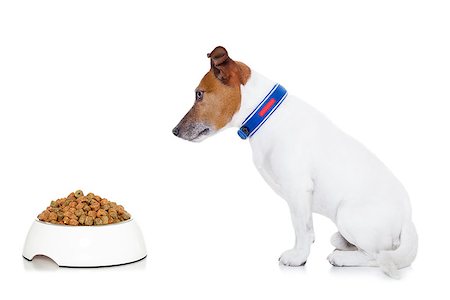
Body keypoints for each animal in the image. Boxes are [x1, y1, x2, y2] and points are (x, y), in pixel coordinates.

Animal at [173, 45, 418, 278]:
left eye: (199, 95)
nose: (174, 131)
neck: (265, 114)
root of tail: (408, 221)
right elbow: (306, 227)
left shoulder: (298, 189)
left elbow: (301, 228)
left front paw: (299, 256)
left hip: (348, 215)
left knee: (379, 256)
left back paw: (342, 258)